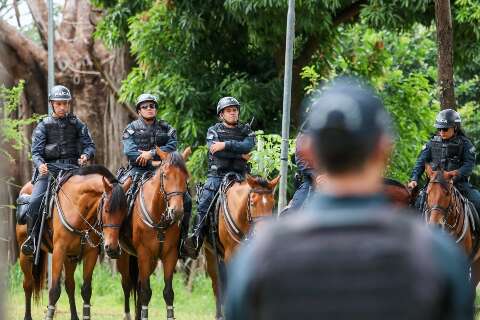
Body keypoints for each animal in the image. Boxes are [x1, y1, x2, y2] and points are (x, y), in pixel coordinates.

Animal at [16, 165, 128, 320]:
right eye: (106, 210)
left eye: (124, 212)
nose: (113, 249)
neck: (76, 207)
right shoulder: (59, 251)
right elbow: (54, 291)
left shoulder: (90, 253)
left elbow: (86, 290)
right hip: (25, 254)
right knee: (28, 284)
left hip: (70, 258)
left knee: (70, 285)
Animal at [117, 149, 190, 320]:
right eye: (165, 175)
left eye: (185, 176)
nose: (177, 211)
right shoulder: (144, 254)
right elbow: (145, 292)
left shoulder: (170, 255)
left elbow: (168, 292)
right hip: (124, 255)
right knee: (127, 284)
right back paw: (127, 314)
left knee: (137, 284)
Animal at [203, 175, 280, 320]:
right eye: (252, 203)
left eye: (273, 204)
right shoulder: (229, 256)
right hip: (210, 253)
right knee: (216, 283)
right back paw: (219, 314)